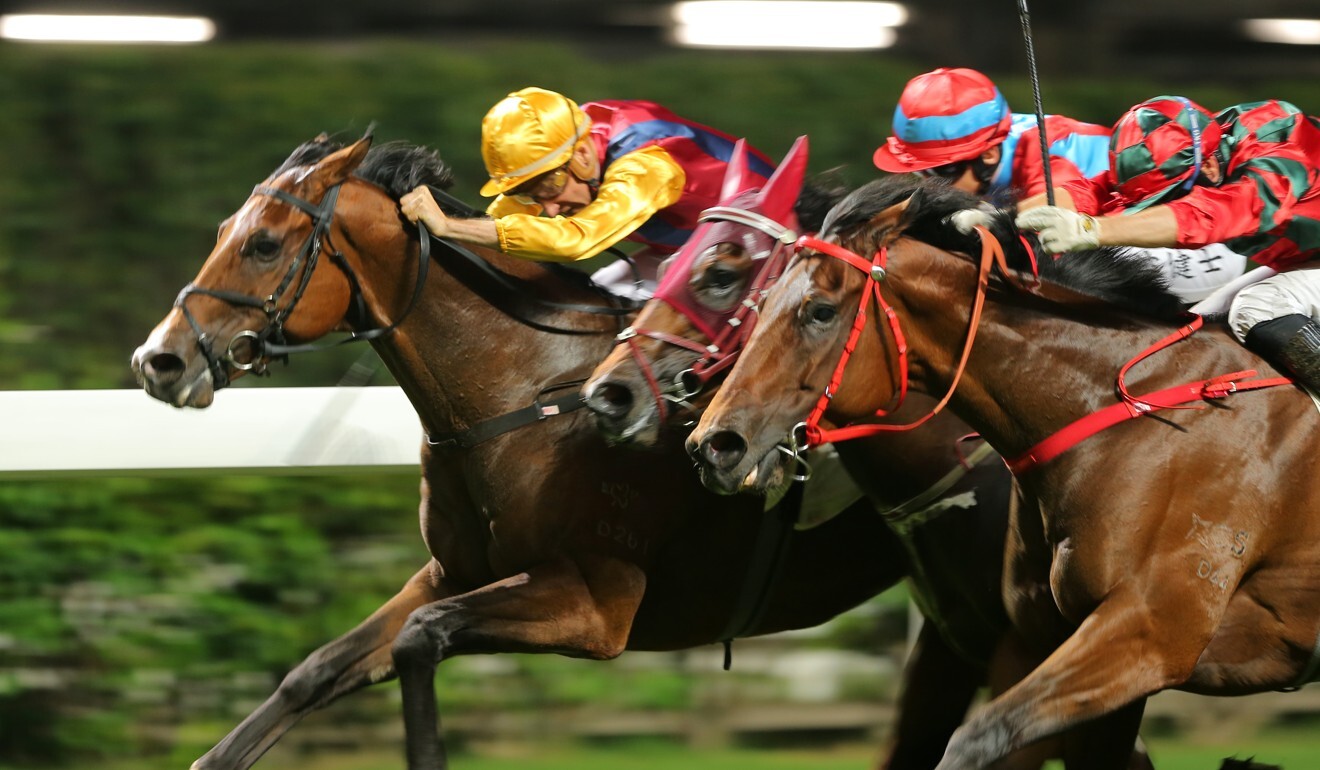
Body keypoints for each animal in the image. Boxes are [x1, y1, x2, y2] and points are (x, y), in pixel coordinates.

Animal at [133, 134, 966, 770]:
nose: (159, 361)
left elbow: (419, 639)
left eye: (264, 243)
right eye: (223, 231)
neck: (529, 394)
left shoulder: (597, 607)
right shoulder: (451, 572)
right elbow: (317, 671)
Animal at [686, 175, 1320, 770]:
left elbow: (977, 739)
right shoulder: (1048, 643)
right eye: (762, 304)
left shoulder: (1150, 631)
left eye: (819, 311)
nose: (713, 445)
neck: (1127, 407)